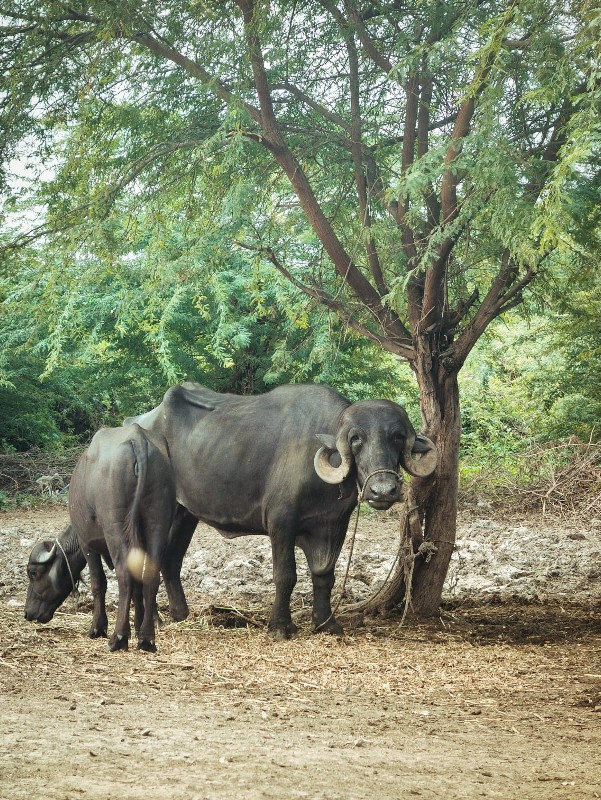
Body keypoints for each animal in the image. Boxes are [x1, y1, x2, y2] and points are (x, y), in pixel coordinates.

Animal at [25, 424, 178, 648]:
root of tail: (138, 438)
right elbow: (138, 587)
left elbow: (98, 583)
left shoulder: (87, 545)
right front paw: (137, 626)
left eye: (33, 573)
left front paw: (98, 628)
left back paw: (118, 637)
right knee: (150, 576)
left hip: (115, 528)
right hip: (157, 522)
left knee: (124, 575)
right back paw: (146, 638)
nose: (27, 613)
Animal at [126, 382, 436, 636]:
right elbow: (286, 575)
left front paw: (325, 623)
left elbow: (325, 575)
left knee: (170, 561)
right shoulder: (281, 523)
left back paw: (180, 615)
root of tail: (138, 423)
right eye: (356, 439)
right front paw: (280, 625)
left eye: (397, 437)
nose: (382, 490)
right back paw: (152, 621)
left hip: (185, 514)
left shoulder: (334, 525)